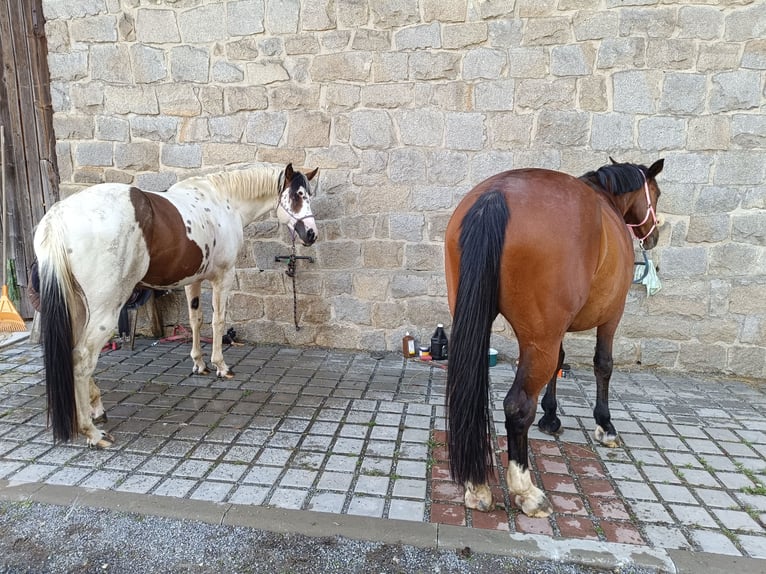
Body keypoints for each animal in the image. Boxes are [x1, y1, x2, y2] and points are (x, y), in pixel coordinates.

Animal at [34, 163, 319, 449]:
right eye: (298, 195)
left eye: (309, 195)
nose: (311, 234)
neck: (223, 200)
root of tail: (57, 218)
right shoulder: (223, 277)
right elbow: (218, 321)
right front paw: (220, 366)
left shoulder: (192, 280)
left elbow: (196, 320)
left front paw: (199, 364)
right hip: (106, 309)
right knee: (83, 358)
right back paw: (92, 432)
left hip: (77, 307)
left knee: (74, 353)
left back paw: (96, 409)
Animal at [444, 158, 663, 517]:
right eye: (656, 194)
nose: (654, 235)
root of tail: (496, 195)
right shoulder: (611, 316)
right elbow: (603, 365)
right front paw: (605, 425)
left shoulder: (558, 330)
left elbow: (560, 363)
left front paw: (550, 416)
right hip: (539, 339)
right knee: (518, 406)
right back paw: (525, 491)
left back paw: (476, 486)